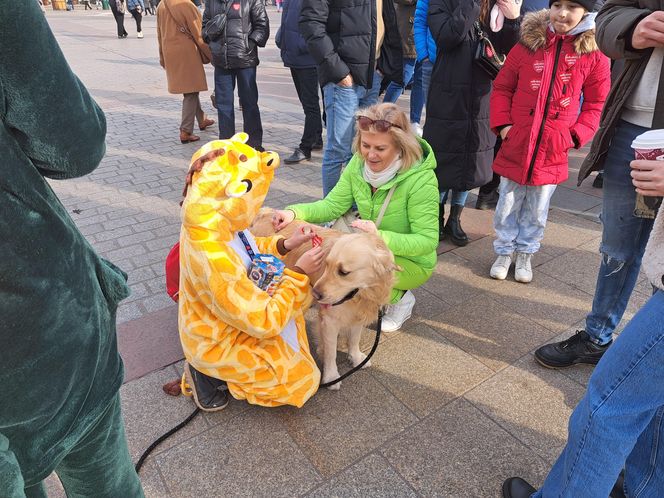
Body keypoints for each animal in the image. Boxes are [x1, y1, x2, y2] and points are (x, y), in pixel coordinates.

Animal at [248, 208, 394, 392]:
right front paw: (331, 376)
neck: (361, 296)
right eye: (327, 264)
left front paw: (356, 358)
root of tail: (266, 212)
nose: (316, 294)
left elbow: (355, 338)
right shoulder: (330, 320)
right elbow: (331, 352)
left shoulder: (358, 314)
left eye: (343, 272)